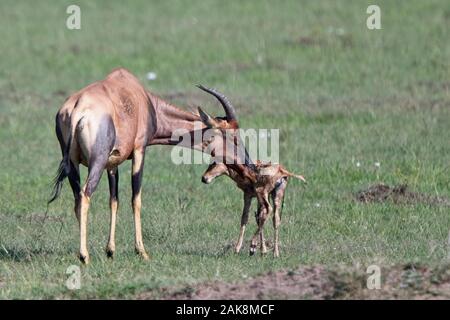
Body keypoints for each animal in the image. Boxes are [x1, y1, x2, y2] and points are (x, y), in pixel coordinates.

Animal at [50, 67, 253, 262]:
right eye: (234, 136)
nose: (248, 165)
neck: (141, 98)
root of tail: (77, 109)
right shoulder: (139, 150)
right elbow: (136, 199)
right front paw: (142, 252)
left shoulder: (112, 162)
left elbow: (114, 200)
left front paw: (110, 251)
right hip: (96, 162)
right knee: (85, 194)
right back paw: (84, 256)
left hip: (73, 164)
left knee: (77, 198)